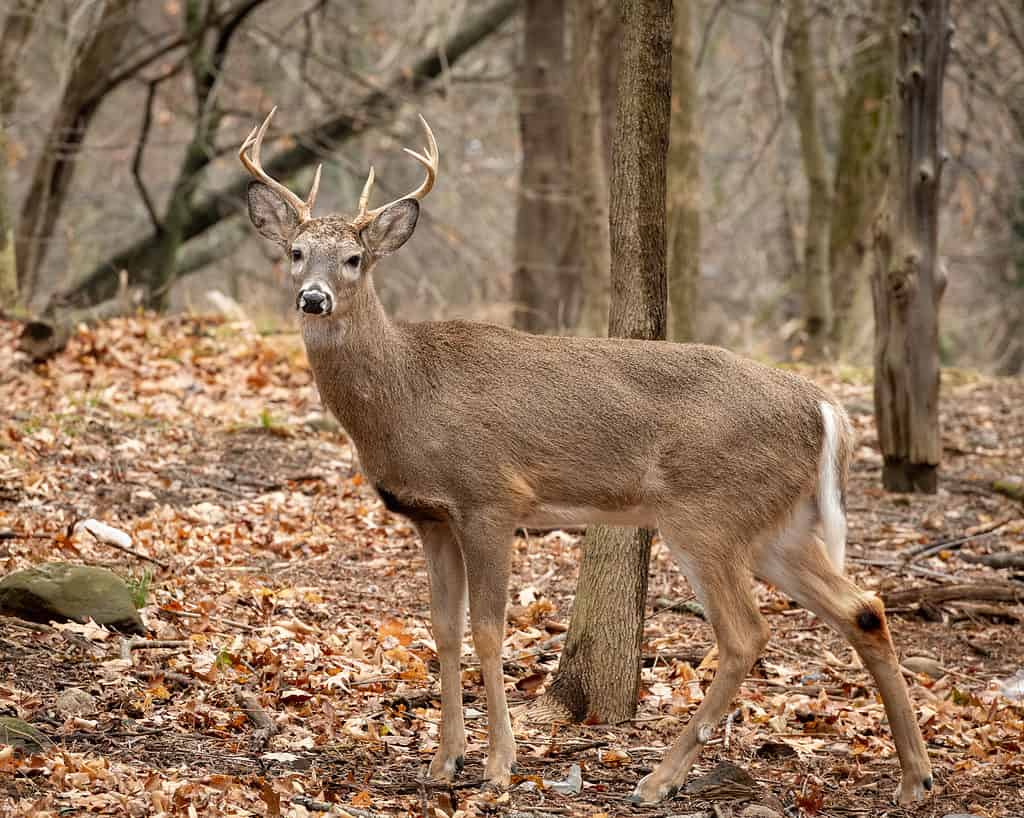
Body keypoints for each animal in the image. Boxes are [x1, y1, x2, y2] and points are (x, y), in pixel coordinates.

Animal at [239, 108, 937, 806]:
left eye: (354, 258)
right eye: (295, 253)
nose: (313, 297)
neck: (408, 393)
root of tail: (822, 405)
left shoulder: (490, 498)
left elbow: (489, 629)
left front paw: (498, 766)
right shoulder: (430, 516)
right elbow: (443, 629)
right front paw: (442, 762)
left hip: (707, 513)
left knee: (746, 635)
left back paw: (658, 780)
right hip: (776, 525)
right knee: (863, 608)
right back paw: (915, 779)